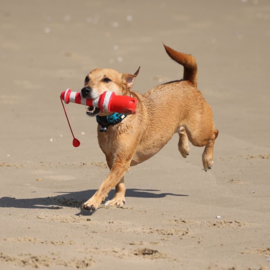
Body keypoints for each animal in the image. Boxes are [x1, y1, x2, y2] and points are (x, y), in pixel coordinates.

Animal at [81, 44, 218, 211]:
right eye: (86, 79)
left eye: (106, 79)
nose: (85, 90)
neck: (116, 121)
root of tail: (188, 82)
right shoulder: (113, 160)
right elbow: (118, 183)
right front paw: (118, 199)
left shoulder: (121, 161)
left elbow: (106, 183)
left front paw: (93, 201)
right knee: (181, 129)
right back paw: (183, 148)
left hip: (198, 134)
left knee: (214, 133)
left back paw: (207, 159)